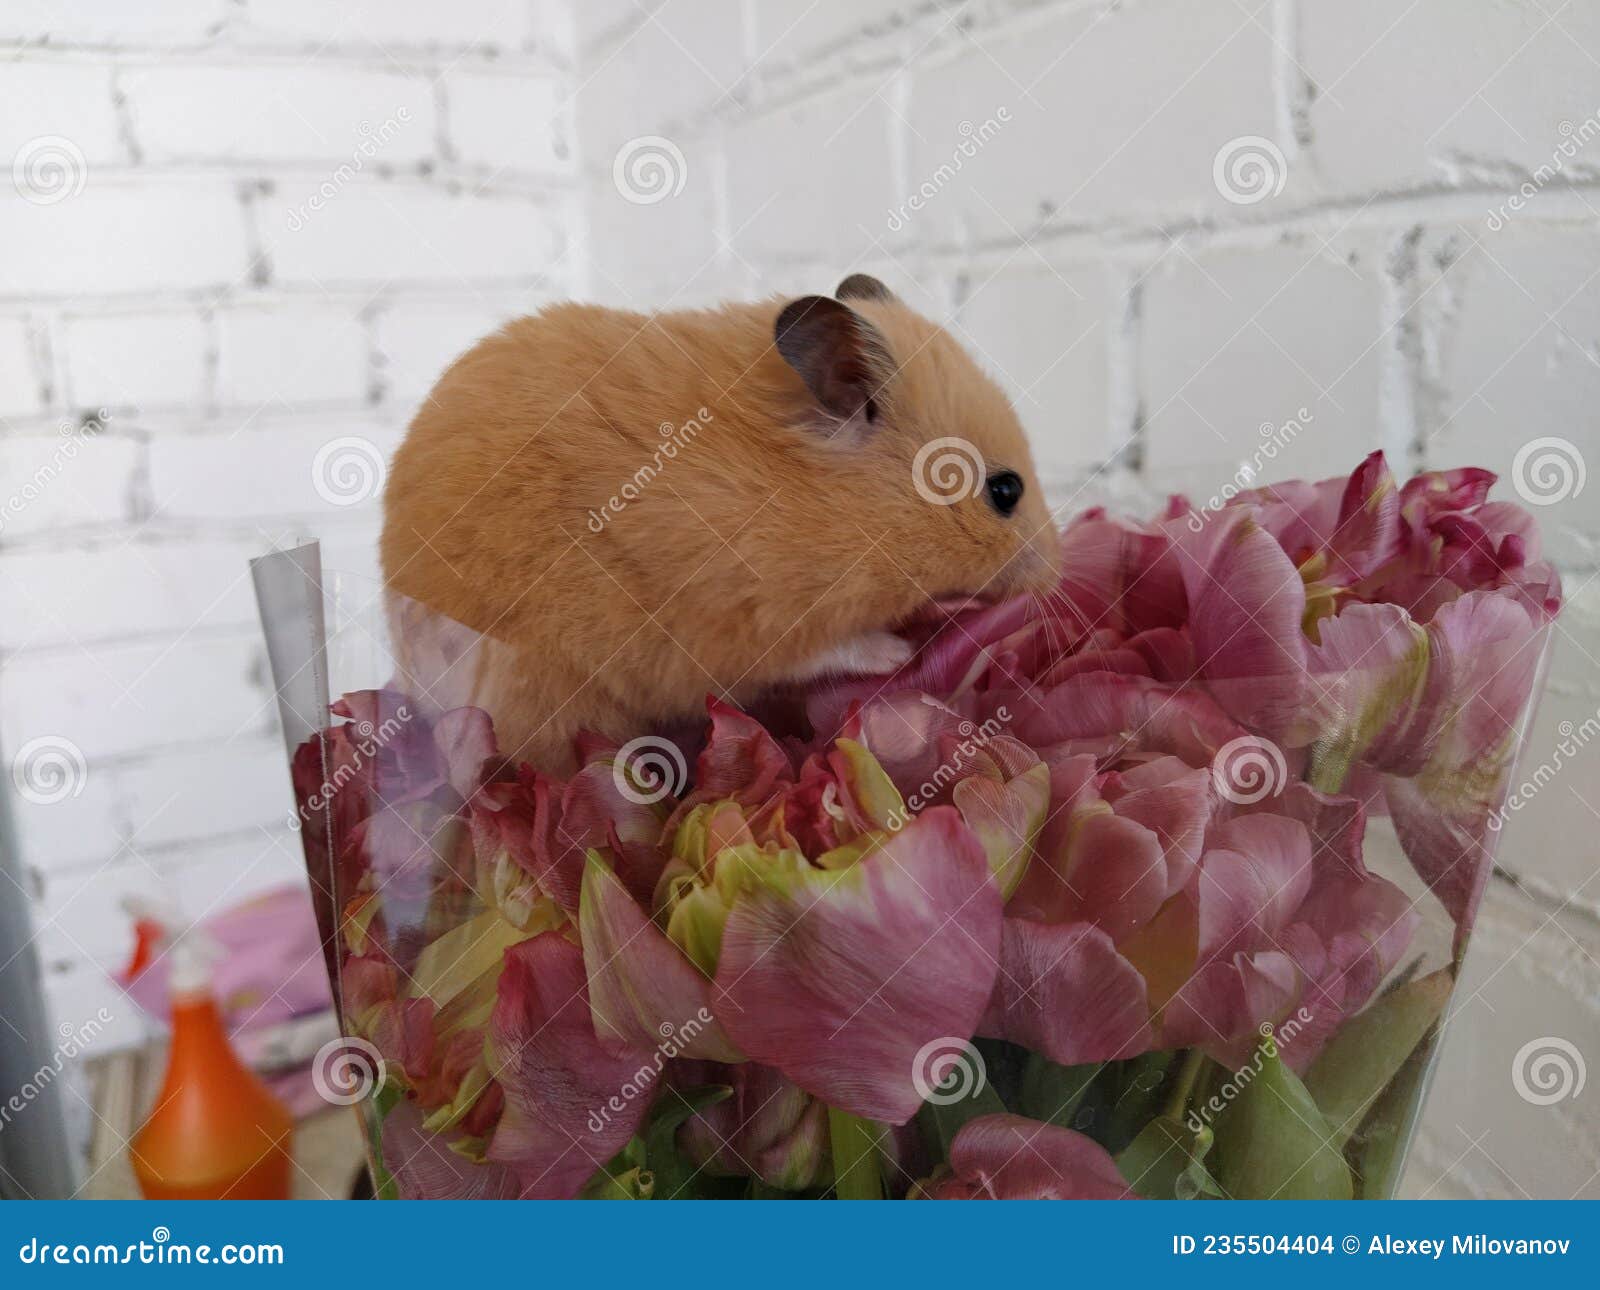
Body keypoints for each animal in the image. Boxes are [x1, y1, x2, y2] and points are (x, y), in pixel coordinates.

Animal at [379, 275, 1062, 773]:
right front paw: (901, 648)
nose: (1056, 577)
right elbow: (836, 649)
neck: (827, 498)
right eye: (1005, 491)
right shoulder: (751, 624)